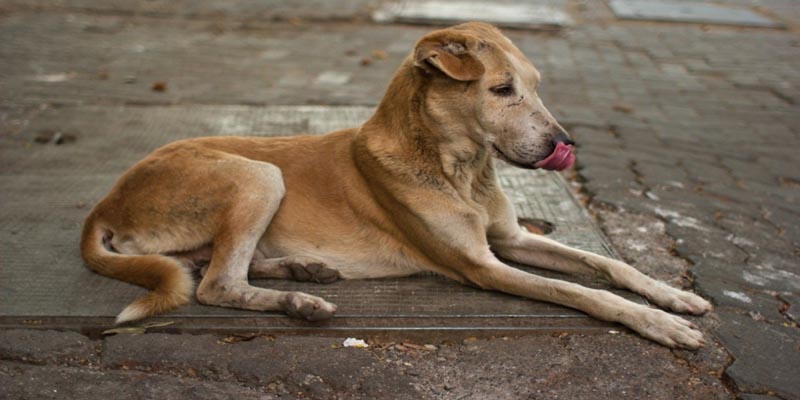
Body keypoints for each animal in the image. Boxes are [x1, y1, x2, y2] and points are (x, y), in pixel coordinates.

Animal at [79, 21, 712, 348]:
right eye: (502, 90)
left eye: (534, 86)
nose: (566, 142)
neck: (461, 171)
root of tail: (104, 202)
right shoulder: (483, 265)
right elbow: (583, 292)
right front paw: (658, 323)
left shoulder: (511, 239)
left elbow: (609, 265)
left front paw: (671, 297)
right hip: (257, 174)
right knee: (215, 284)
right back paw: (301, 302)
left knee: (216, 265)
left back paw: (301, 272)